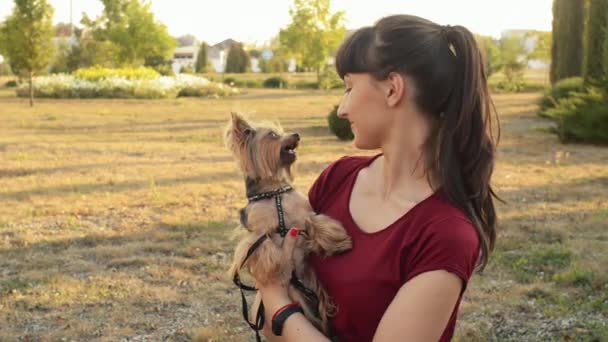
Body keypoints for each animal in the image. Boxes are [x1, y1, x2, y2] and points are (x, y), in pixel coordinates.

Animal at [224, 111, 352, 336]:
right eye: (273, 135)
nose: (297, 135)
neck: (274, 191)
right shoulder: (257, 232)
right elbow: (264, 245)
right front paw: (274, 266)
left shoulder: (304, 215)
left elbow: (318, 223)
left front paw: (338, 242)